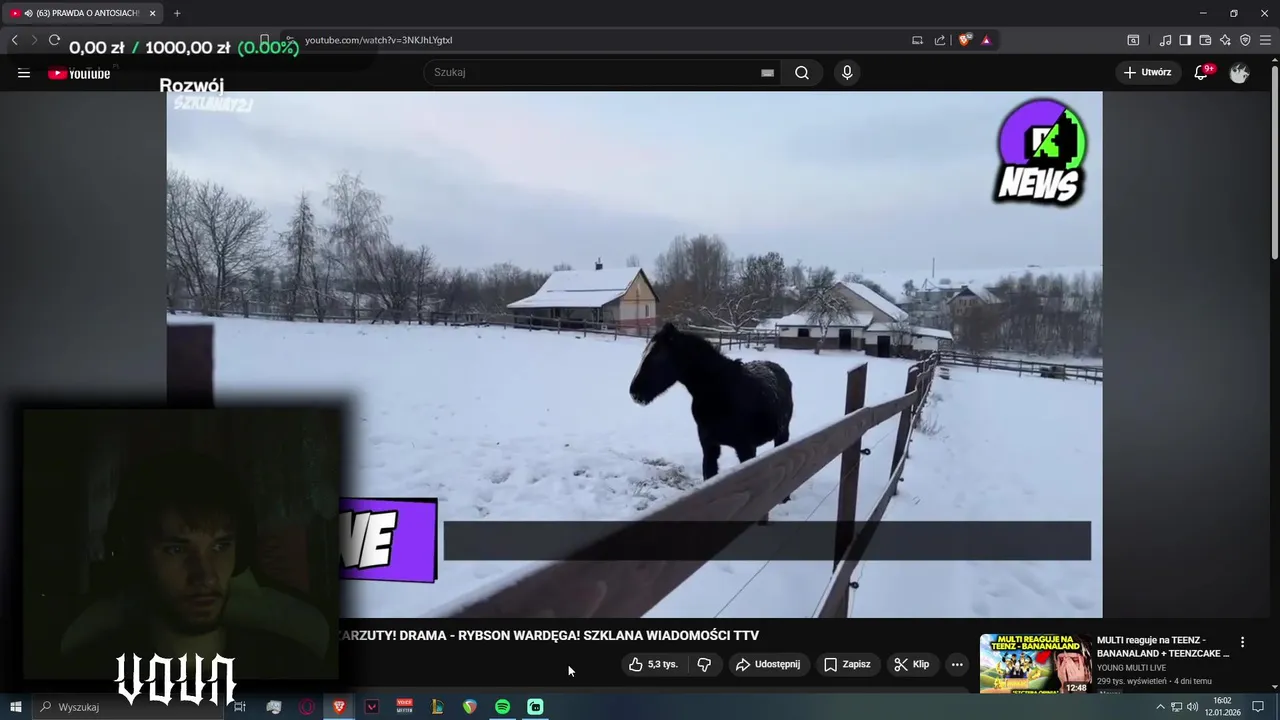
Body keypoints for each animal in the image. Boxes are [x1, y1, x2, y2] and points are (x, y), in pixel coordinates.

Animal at [628, 323, 795, 502]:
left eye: (658, 357)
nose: (634, 392)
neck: (720, 390)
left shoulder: (745, 448)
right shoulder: (709, 447)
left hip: (782, 434)